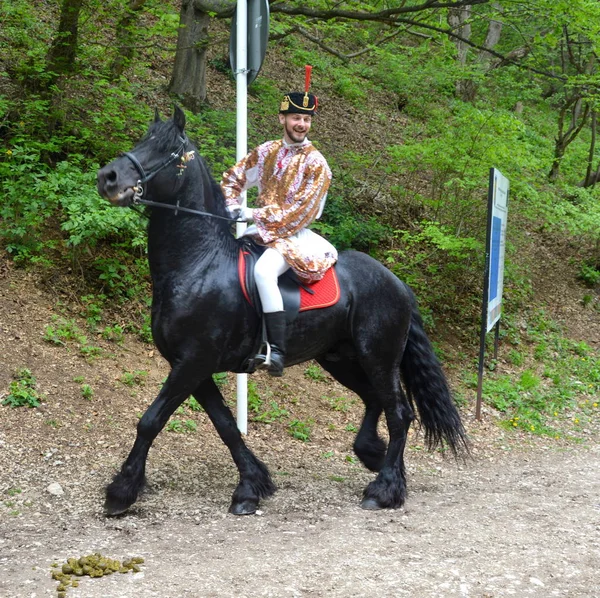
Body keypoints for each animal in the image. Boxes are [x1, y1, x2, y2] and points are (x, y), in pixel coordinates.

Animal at [96, 105, 466, 516]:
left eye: (169, 151)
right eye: (141, 140)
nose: (107, 178)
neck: (198, 264)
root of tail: (396, 282)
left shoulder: (192, 363)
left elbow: (150, 420)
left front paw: (122, 491)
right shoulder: (194, 368)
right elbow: (226, 426)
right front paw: (251, 486)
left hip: (379, 357)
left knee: (399, 413)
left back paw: (384, 489)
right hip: (339, 358)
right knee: (375, 401)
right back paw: (376, 458)